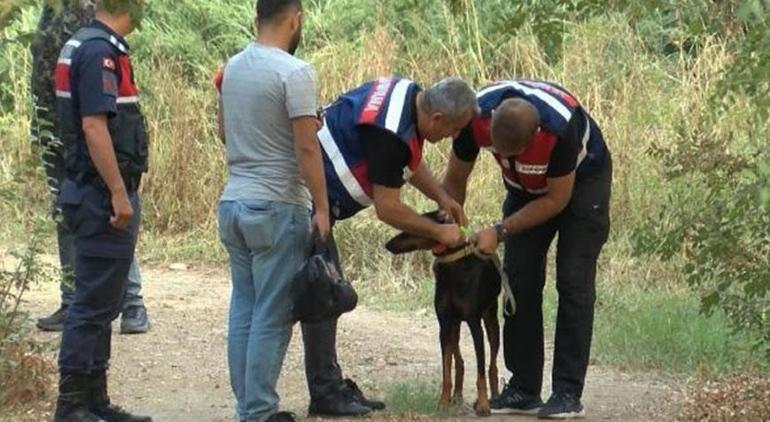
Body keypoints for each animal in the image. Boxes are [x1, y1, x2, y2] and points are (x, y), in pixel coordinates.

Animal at [384, 213, 510, 418]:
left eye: (412, 228)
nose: (387, 244)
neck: (454, 265)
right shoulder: (444, 324)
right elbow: (446, 371)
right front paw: (443, 401)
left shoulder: (475, 324)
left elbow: (481, 372)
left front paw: (483, 404)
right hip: (455, 326)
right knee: (459, 362)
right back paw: (457, 395)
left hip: (490, 320)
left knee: (492, 365)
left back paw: (494, 397)